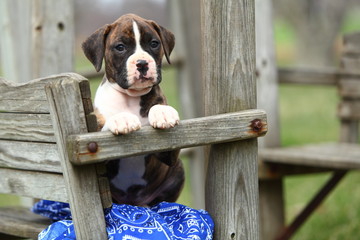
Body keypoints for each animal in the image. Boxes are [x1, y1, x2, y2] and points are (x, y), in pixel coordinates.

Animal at [82, 14, 184, 206]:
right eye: (120, 47)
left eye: (154, 43)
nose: (142, 63)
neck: (131, 98)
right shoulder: (95, 147)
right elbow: (102, 127)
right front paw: (121, 119)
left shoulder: (168, 154)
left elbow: (159, 107)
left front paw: (163, 112)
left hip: (178, 170)